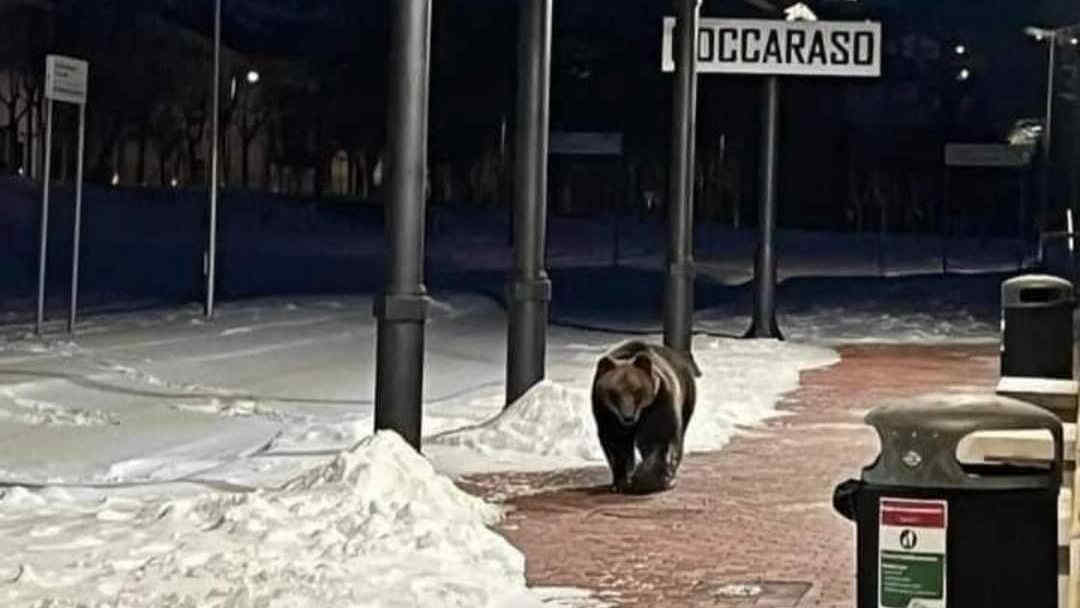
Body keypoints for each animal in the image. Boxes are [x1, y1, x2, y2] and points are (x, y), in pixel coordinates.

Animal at [591, 343, 699, 494]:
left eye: (636, 391)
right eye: (614, 393)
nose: (628, 417)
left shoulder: (659, 401)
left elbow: (658, 436)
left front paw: (648, 478)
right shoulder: (606, 412)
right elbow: (616, 443)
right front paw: (621, 482)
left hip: (686, 395)